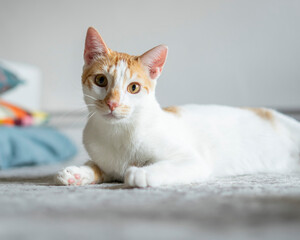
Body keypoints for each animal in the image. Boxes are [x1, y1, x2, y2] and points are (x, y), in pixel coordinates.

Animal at [56, 26, 300, 188]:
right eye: (101, 80)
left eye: (133, 88)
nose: (112, 103)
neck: (117, 133)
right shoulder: (105, 161)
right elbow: (98, 166)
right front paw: (77, 172)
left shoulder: (193, 160)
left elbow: (168, 165)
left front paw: (142, 174)